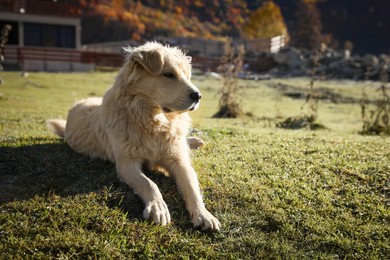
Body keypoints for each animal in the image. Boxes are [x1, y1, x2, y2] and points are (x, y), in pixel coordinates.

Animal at [48, 41, 219, 231]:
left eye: (187, 76)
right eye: (168, 74)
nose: (198, 96)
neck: (153, 120)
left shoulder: (178, 160)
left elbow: (191, 187)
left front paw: (203, 214)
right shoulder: (126, 164)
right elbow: (149, 183)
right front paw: (158, 207)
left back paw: (195, 140)